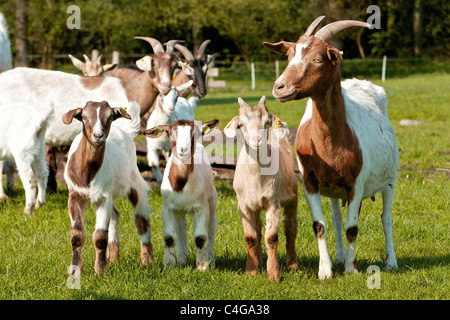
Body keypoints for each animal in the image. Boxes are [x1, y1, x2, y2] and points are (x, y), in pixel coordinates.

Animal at [62, 100, 153, 278]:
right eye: (84, 117)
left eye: (109, 117)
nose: (98, 136)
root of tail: (125, 132)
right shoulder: (75, 195)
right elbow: (77, 235)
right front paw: (75, 271)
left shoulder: (103, 198)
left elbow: (99, 236)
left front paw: (100, 271)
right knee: (115, 214)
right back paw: (113, 255)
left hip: (133, 180)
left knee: (141, 218)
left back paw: (147, 260)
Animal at [144, 119, 220, 270]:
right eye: (170, 133)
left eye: (195, 134)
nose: (183, 150)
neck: (180, 183)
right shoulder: (167, 208)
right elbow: (169, 237)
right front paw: (169, 265)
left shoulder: (201, 207)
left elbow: (201, 237)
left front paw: (202, 267)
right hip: (179, 211)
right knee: (181, 228)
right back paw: (182, 259)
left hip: (211, 201)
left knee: (211, 226)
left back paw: (211, 260)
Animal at [225, 95, 298, 280]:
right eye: (241, 125)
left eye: (266, 122)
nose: (257, 140)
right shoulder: (243, 205)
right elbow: (251, 237)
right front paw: (251, 270)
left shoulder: (273, 201)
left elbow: (271, 237)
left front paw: (273, 274)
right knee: (257, 230)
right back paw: (258, 258)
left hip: (293, 198)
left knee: (291, 228)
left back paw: (292, 264)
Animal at [262, 15, 400, 280]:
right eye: (289, 56)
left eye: (317, 59)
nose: (279, 87)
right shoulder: (309, 181)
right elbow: (320, 225)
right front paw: (326, 270)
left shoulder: (356, 183)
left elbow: (352, 228)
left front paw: (351, 269)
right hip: (335, 189)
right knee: (336, 217)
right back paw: (340, 256)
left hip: (389, 180)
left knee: (386, 219)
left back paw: (391, 262)